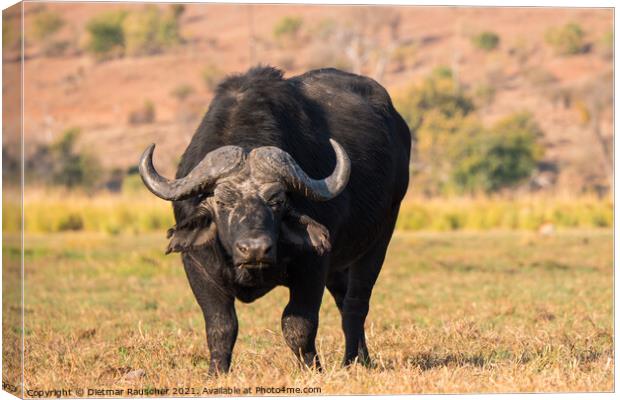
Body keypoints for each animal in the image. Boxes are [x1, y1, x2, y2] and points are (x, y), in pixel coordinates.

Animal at [140, 66, 412, 376]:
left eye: (277, 200)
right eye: (222, 201)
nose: (255, 249)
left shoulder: (313, 266)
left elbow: (297, 325)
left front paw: (312, 369)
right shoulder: (198, 266)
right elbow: (221, 325)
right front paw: (217, 372)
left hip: (379, 239)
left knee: (356, 304)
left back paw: (353, 360)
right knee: (344, 299)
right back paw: (360, 359)